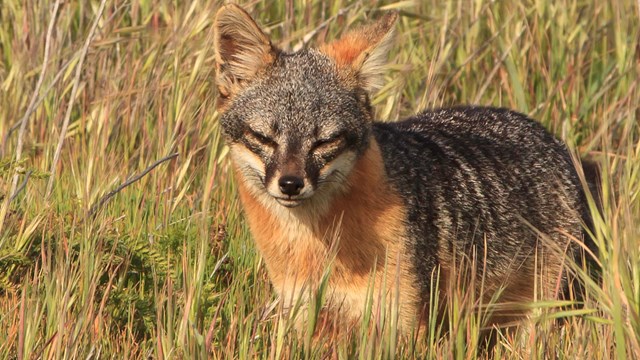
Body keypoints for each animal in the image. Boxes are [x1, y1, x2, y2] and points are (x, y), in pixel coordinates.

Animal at [214, 4, 596, 334]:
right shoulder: (306, 315)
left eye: (325, 141)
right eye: (263, 137)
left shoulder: (404, 322)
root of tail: (549, 136)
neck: (314, 248)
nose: (291, 184)